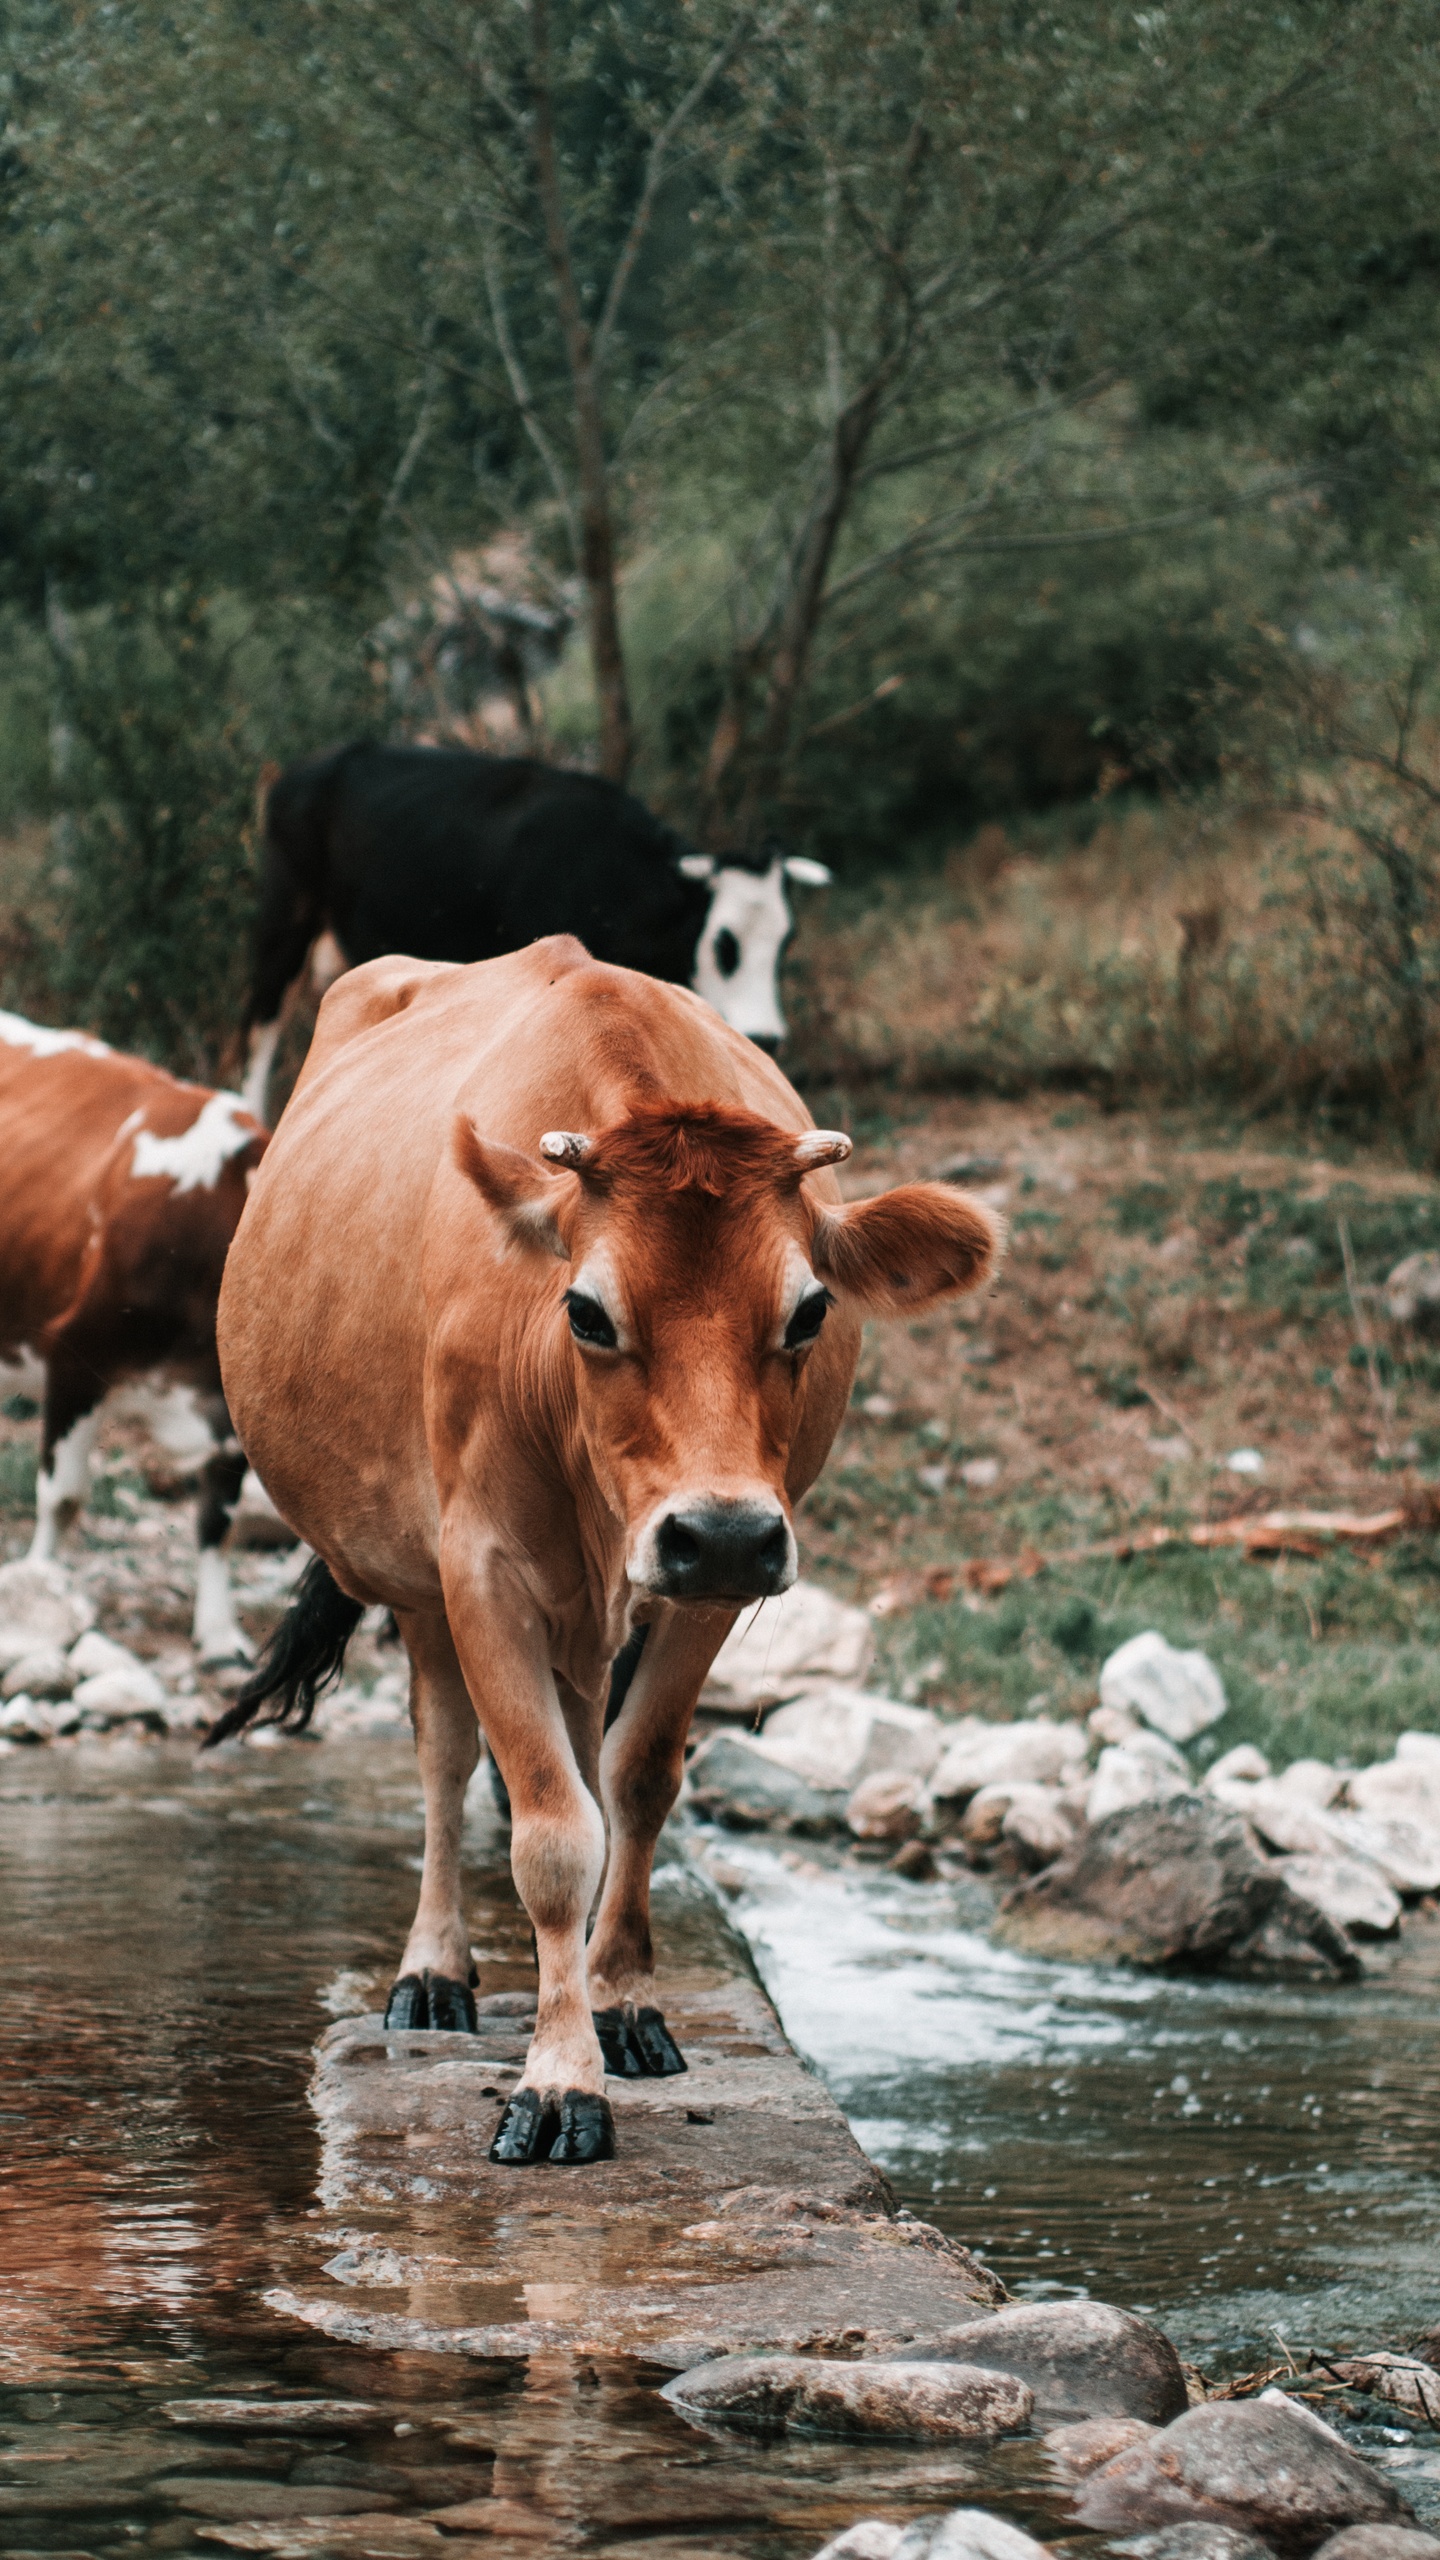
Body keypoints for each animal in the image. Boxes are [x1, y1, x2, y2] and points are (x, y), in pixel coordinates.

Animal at [0, 998, 267, 1658]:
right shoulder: (74, 1353)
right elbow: (63, 1497)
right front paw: (34, 1597)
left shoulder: (231, 1415)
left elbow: (219, 1517)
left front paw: (219, 1632)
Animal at [212, 942, 999, 2160]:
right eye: (585, 1311)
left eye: (811, 1311)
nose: (721, 1530)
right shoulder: (481, 1568)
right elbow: (547, 1831)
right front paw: (556, 2080)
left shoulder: (708, 1585)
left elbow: (635, 1780)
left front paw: (619, 2002)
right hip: (418, 1579)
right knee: (444, 1755)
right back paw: (433, 1973)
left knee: (585, 1744)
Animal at [239, 742, 825, 1121]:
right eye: (725, 942)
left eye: (786, 941)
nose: (767, 1037)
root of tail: (303, 771)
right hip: (284, 921)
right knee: (260, 1029)